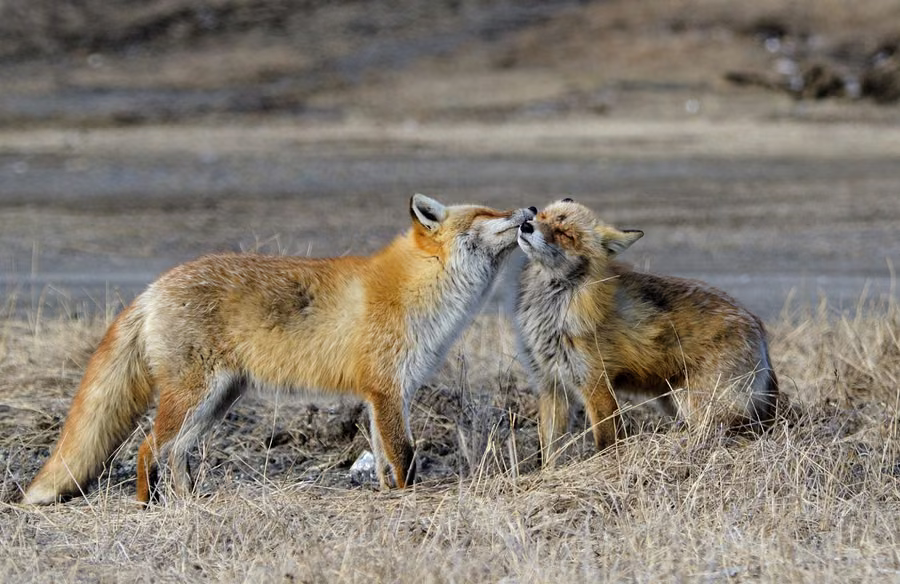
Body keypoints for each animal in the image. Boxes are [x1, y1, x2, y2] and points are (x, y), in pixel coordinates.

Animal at [23, 194, 536, 504]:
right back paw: (147, 506)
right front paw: (409, 498)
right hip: (194, 395)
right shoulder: (388, 388)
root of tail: (153, 287)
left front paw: (387, 495)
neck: (419, 291)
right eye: (488, 213)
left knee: (176, 452)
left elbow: (384, 457)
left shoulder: (384, 394)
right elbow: (405, 455)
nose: (530, 208)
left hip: (219, 398)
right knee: (148, 448)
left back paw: (189, 503)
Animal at [512, 198, 778, 465]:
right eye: (541, 217)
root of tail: (756, 323)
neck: (552, 308)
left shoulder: (596, 384)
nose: (526, 225)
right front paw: (548, 473)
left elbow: (607, 443)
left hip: (699, 406)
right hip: (673, 402)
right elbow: (550, 450)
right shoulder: (551, 385)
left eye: (565, 234)